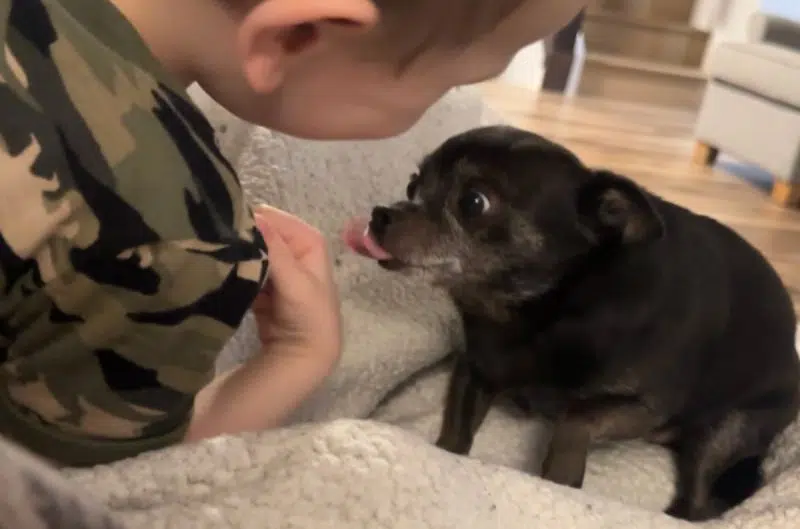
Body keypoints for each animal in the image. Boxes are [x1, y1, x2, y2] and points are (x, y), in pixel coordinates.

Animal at [343, 125, 800, 522]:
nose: (381, 215)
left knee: (697, 504)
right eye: (412, 186)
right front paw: (448, 457)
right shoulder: (474, 369)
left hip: (724, 432)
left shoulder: (646, 406)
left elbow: (576, 418)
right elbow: (454, 437)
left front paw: (560, 476)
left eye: (473, 202)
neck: (537, 313)